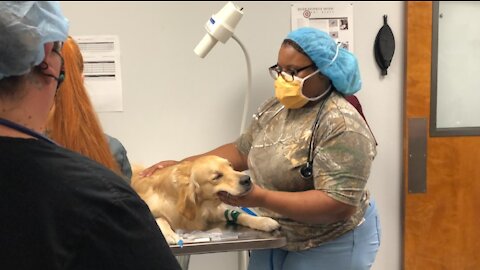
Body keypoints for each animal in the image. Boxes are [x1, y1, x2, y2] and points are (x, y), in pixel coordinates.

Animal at [131, 154, 282, 245]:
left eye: (231, 166)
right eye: (217, 176)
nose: (247, 179)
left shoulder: (213, 211)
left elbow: (240, 215)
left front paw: (263, 221)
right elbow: (160, 219)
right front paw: (169, 235)